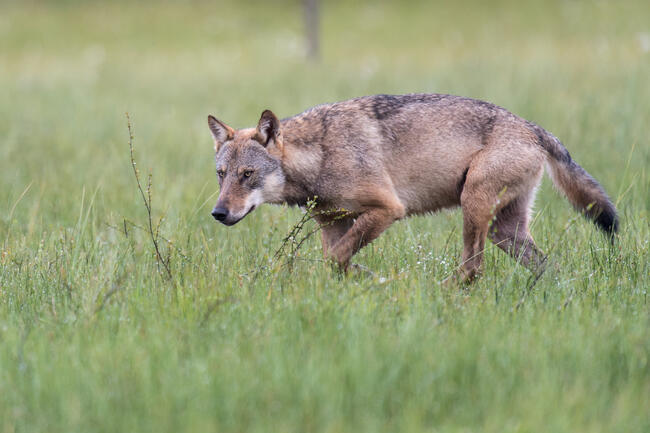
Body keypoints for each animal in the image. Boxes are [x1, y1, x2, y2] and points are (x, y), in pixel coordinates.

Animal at [206, 93, 612, 282]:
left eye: (247, 174)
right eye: (222, 175)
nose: (218, 213)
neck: (319, 154)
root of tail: (533, 127)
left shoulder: (388, 209)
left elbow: (338, 259)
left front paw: (377, 279)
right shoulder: (332, 223)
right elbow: (335, 261)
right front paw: (367, 280)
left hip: (474, 207)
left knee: (473, 270)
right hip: (504, 230)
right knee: (547, 268)